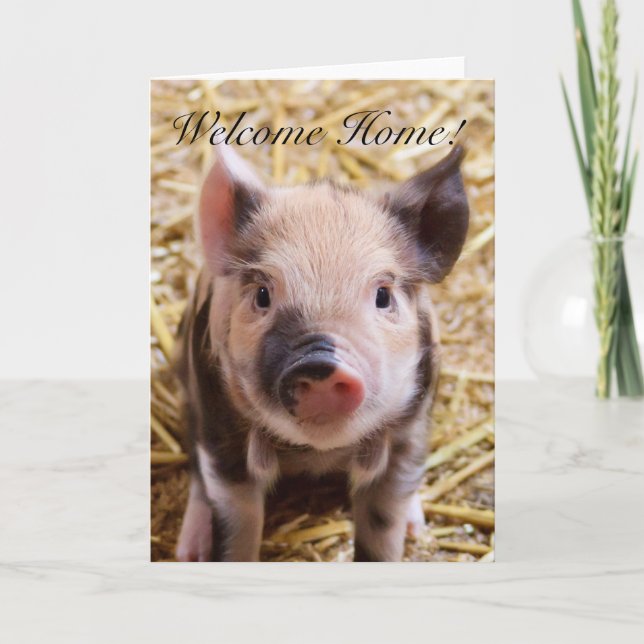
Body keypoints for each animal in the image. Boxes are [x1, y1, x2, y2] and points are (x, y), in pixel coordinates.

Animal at [173, 144, 469, 562]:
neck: (317, 453)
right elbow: (236, 527)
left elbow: (383, 526)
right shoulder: (220, 431)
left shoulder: (410, 431)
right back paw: (189, 551)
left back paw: (417, 528)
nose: (320, 363)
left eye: (383, 296)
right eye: (262, 294)